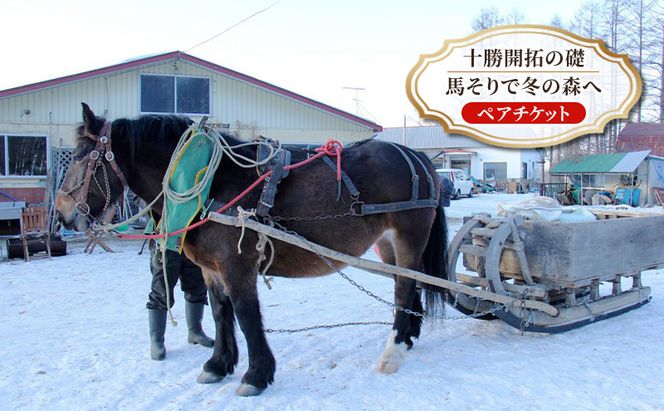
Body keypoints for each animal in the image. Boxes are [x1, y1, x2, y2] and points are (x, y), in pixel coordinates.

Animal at [55, 103, 448, 397]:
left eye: (80, 156)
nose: (61, 212)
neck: (210, 181)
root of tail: (417, 158)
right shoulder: (211, 268)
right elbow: (219, 313)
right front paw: (218, 364)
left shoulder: (237, 265)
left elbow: (246, 315)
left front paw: (256, 375)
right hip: (387, 245)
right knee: (407, 286)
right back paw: (408, 339)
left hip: (408, 237)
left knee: (404, 288)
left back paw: (393, 352)